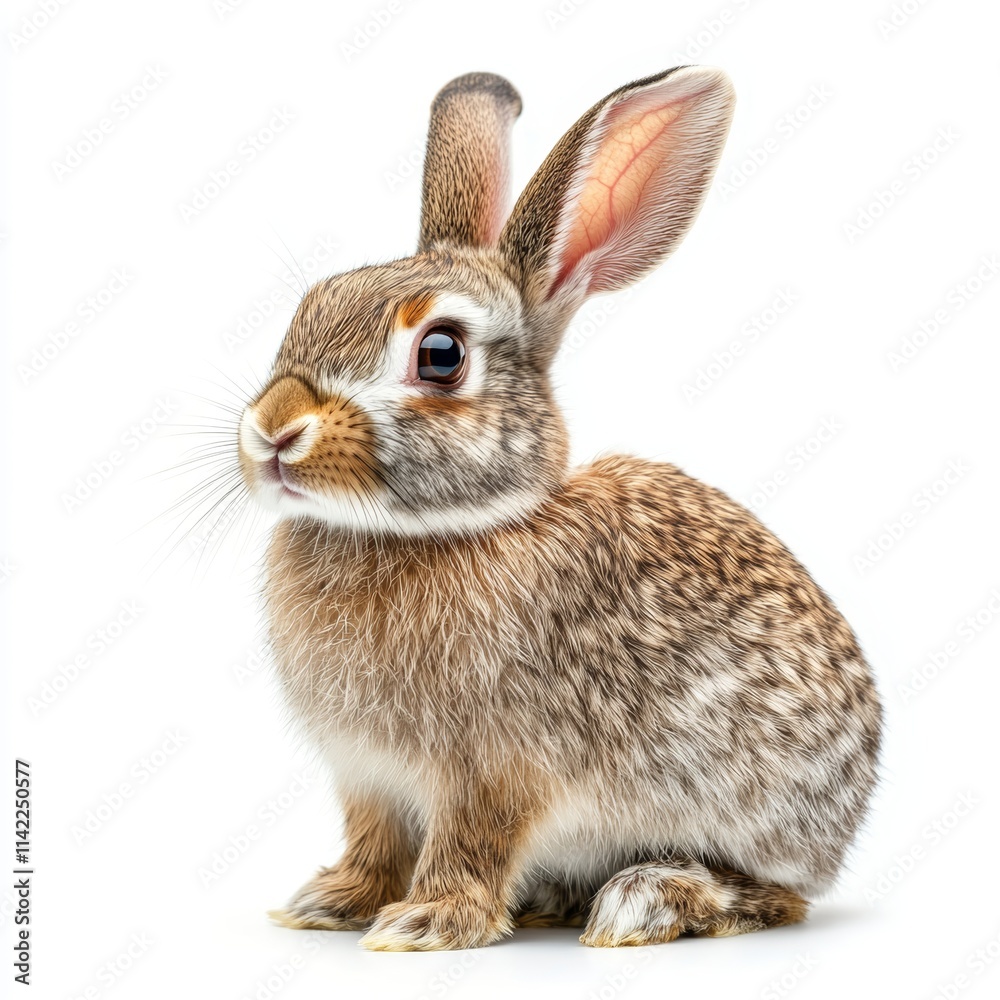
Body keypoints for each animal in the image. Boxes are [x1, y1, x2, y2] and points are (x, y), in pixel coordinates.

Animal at [235, 66, 883, 951]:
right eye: (311, 304)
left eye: (440, 354)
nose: (273, 429)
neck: (437, 528)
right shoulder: (367, 777)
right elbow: (374, 840)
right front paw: (333, 901)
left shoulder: (493, 769)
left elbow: (470, 844)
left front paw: (427, 922)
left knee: (778, 897)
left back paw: (648, 897)